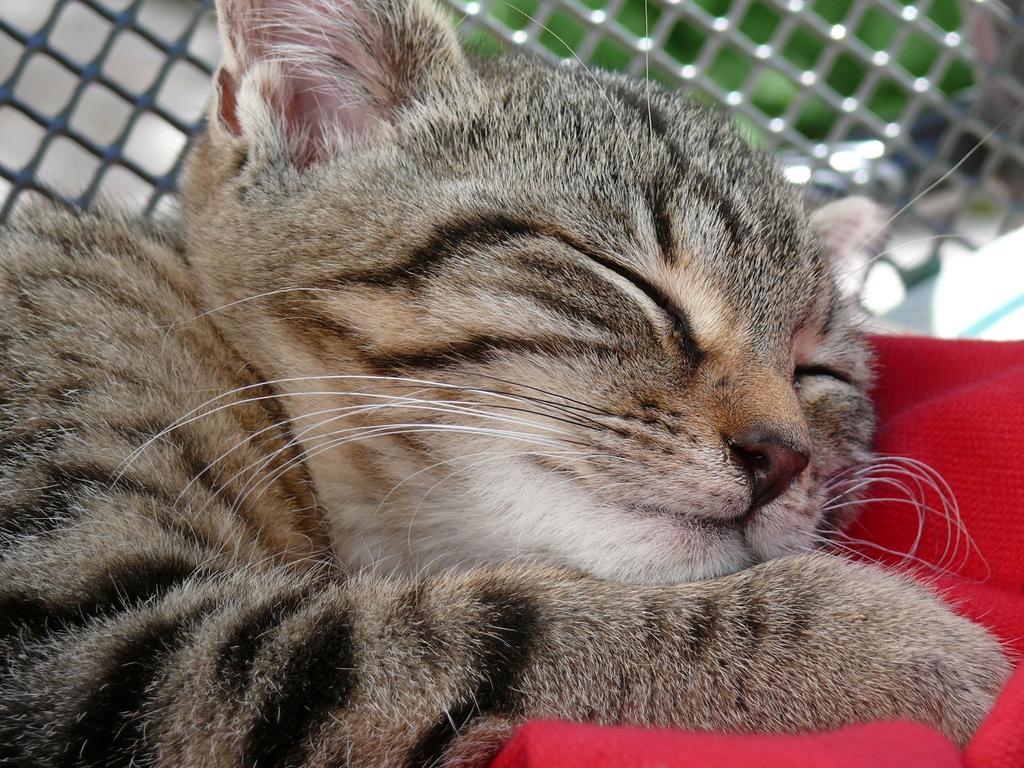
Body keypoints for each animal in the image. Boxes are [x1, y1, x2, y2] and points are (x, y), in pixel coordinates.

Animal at [0, 0, 1007, 765]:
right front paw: (899, 643)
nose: (783, 456)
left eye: (815, 369)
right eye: (632, 282)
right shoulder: (103, 660)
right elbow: (495, 632)